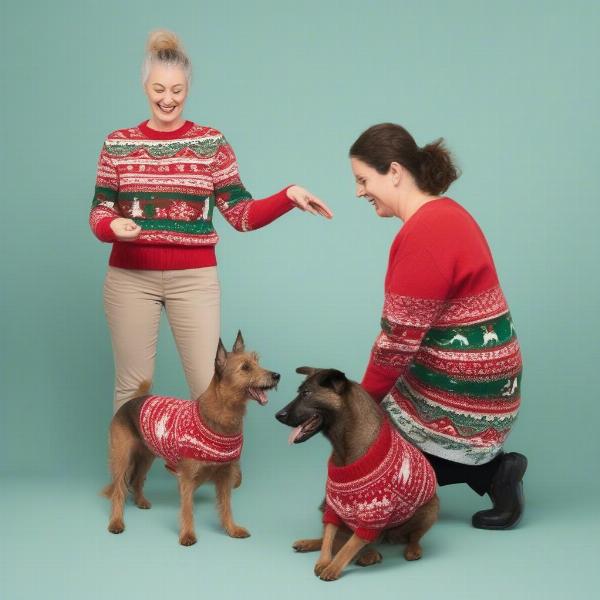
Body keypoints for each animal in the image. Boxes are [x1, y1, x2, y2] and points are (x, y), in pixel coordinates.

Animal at [102, 330, 280, 548]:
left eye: (257, 361)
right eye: (245, 367)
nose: (277, 375)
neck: (222, 412)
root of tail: (131, 401)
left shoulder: (225, 474)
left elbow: (226, 506)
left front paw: (231, 529)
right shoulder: (187, 478)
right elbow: (187, 509)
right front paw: (187, 535)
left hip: (146, 456)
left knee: (137, 480)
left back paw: (140, 501)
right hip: (122, 459)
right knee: (119, 490)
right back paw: (116, 521)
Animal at [274, 366, 438, 580]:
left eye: (307, 393)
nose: (278, 415)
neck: (345, 449)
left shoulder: (373, 515)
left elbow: (349, 546)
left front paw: (333, 567)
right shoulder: (333, 505)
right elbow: (330, 536)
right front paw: (324, 561)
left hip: (431, 507)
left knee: (411, 537)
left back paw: (409, 549)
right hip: (326, 506)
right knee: (336, 538)